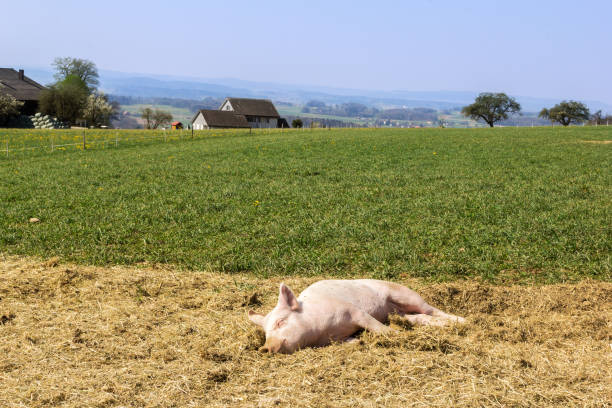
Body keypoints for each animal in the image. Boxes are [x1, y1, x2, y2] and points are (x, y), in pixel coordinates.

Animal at [247, 280, 464, 354]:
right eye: (265, 334)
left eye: (281, 321)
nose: (265, 348)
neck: (320, 333)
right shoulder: (335, 339)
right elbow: (349, 341)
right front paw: (359, 342)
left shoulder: (353, 311)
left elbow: (375, 326)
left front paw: (395, 335)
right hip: (402, 312)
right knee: (419, 318)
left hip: (406, 294)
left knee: (431, 309)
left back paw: (462, 321)